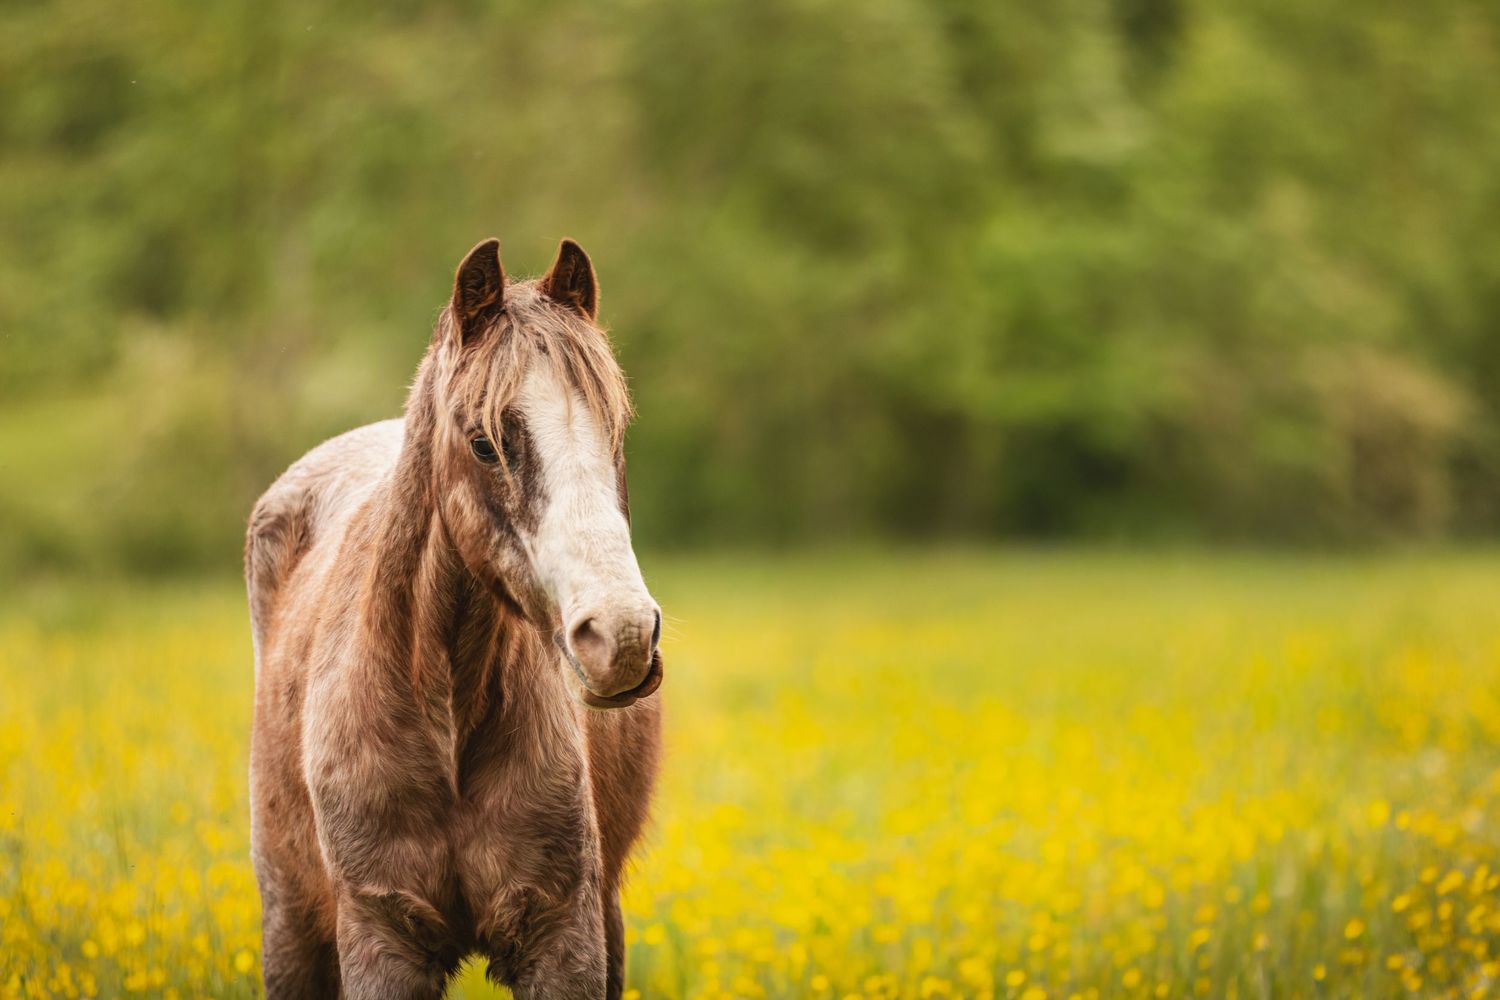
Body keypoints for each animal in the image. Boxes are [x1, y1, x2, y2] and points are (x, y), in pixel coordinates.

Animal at [244, 237, 663, 1000]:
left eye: (614, 432)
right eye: (484, 443)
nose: (619, 637)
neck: (443, 717)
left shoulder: (564, 934)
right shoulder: (382, 939)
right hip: (290, 920)